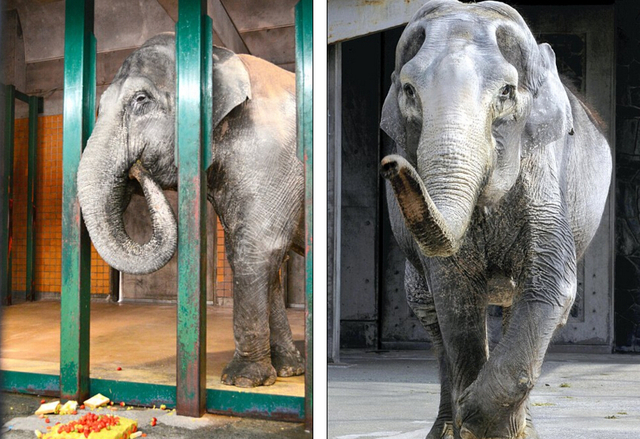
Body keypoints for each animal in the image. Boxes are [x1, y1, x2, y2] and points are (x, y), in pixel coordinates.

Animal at [76, 33, 306, 388]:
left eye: (141, 99)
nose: (137, 169)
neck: (221, 59)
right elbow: (257, 253)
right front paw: (286, 371)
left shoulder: (268, 153)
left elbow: (256, 248)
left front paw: (242, 380)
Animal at [380, 0, 608, 439]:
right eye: (409, 91)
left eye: (506, 92)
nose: (391, 164)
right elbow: (453, 292)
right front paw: (470, 421)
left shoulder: (541, 173)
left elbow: (550, 283)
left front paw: (482, 420)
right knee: (429, 313)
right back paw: (445, 427)